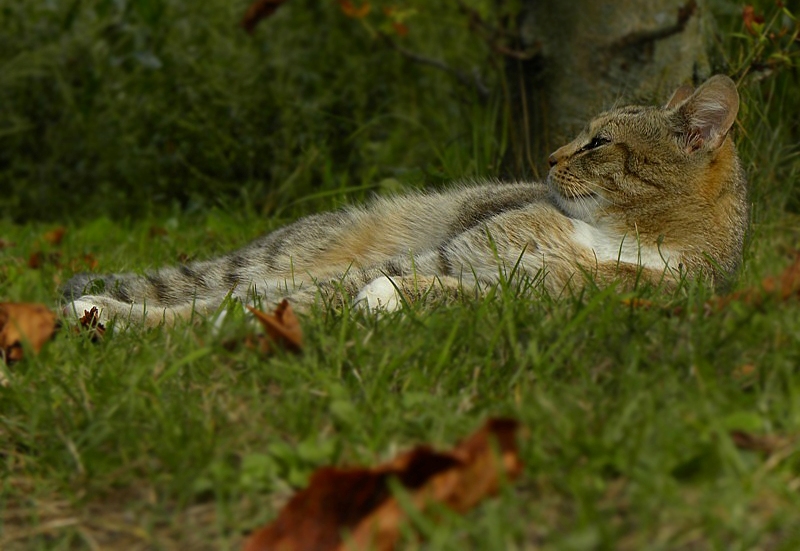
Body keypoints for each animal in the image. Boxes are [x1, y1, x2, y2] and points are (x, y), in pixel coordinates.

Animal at [64, 75, 752, 326]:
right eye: (584, 135)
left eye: (600, 142)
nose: (551, 158)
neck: (616, 234)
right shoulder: (449, 255)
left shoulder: (538, 299)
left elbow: (447, 293)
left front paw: (386, 300)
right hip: (273, 257)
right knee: (205, 288)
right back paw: (95, 306)